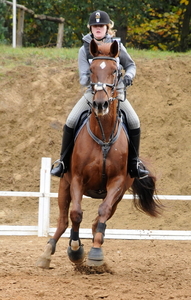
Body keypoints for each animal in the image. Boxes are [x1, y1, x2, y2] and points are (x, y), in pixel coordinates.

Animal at [36, 39, 160, 268]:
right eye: (92, 70)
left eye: (115, 71)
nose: (100, 104)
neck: (103, 136)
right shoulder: (76, 179)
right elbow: (76, 214)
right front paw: (76, 250)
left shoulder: (117, 183)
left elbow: (102, 213)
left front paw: (94, 253)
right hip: (64, 185)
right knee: (63, 220)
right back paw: (47, 253)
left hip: (119, 195)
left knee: (98, 220)